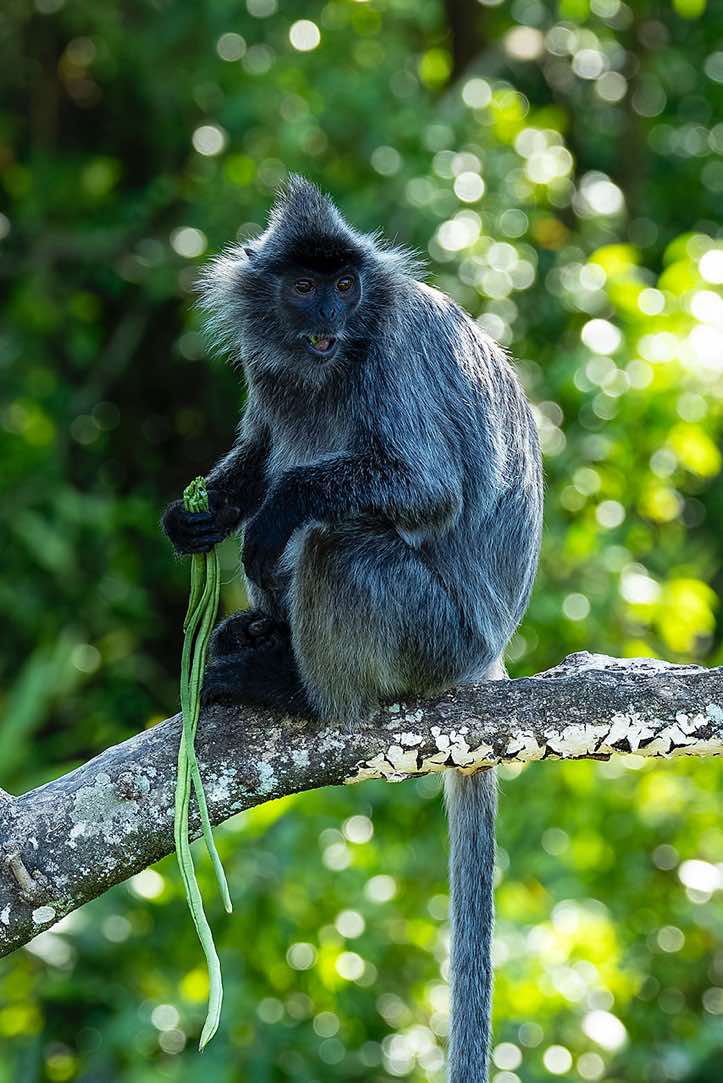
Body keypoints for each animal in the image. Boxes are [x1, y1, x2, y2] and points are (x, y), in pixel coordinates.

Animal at [162, 176, 543, 1083]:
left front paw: (267, 520)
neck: (329, 358)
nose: (329, 317)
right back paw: (262, 633)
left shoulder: (392, 351)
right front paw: (201, 515)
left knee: (335, 541)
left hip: (433, 633)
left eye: (344, 283)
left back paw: (295, 687)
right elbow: (261, 445)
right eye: (304, 286)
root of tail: (488, 659)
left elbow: (427, 487)